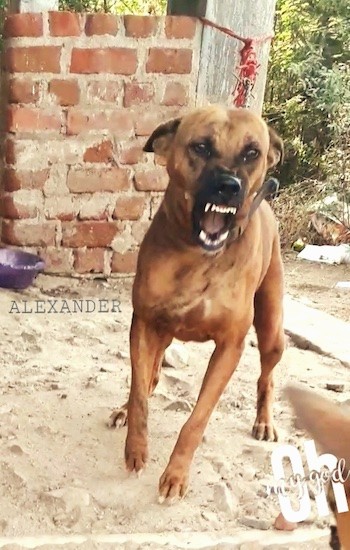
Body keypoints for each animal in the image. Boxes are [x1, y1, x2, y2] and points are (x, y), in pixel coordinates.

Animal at [110, 104, 286, 504]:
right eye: (201, 146)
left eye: (252, 152)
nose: (230, 187)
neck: (198, 256)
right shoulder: (144, 324)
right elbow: (139, 393)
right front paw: (135, 448)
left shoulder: (230, 346)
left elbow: (197, 419)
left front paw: (175, 475)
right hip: (161, 334)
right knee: (148, 377)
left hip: (272, 331)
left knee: (267, 376)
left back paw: (265, 421)